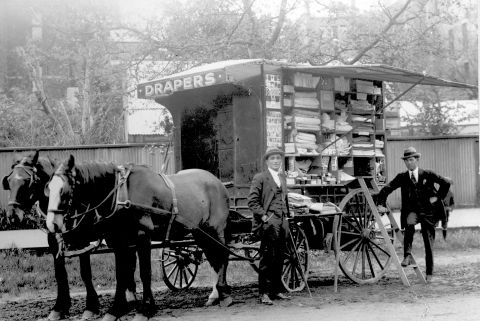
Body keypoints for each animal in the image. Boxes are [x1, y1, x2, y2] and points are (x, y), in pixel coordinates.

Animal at [2, 152, 137, 320]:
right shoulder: (54, 241)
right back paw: (130, 296)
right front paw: (59, 308)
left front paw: (91, 307)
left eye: (28, 181)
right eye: (9, 181)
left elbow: (85, 273)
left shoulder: (83, 241)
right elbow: (60, 274)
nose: (12, 216)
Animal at [47, 156, 232, 320]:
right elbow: (122, 273)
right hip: (200, 232)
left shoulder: (142, 237)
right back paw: (215, 295)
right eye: (48, 188)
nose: (51, 224)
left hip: (216, 229)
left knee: (222, 256)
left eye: (64, 191)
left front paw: (146, 309)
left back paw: (224, 294)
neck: (123, 194)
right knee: (213, 258)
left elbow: (144, 272)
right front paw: (116, 310)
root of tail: (217, 182)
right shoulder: (119, 241)